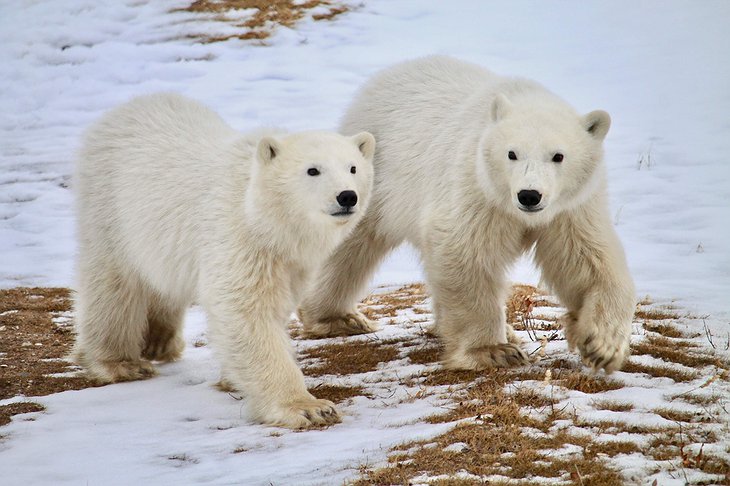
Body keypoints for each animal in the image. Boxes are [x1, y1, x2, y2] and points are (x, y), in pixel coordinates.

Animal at [72, 93, 376, 428]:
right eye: (313, 170)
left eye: (352, 168)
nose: (347, 196)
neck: (266, 218)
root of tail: (126, 108)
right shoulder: (238, 235)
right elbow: (246, 311)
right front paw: (308, 407)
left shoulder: (290, 261)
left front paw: (232, 378)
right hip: (110, 207)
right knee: (113, 283)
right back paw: (121, 362)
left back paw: (159, 340)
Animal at [298, 58, 636, 376]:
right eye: (511, 153)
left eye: (558, 156)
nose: (529, 195)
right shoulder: (475, 186)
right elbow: (464, 252)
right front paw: (493, 351)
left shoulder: (571, 206)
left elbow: (585, 260)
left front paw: (602, 346)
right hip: (369, 173)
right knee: (350, 241)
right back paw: (336, 316)